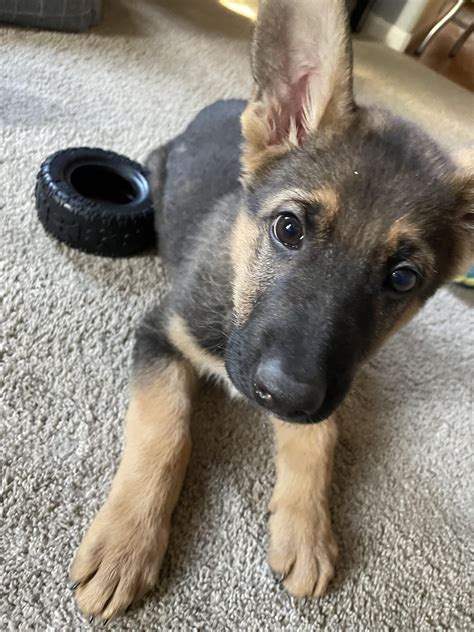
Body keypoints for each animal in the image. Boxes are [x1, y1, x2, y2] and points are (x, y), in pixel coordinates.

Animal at [70, 0, 470, 624]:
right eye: (288, 228)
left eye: (402, 279)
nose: (285, 395)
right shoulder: (162, 332)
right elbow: (166, 432)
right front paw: (125, 542)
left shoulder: (329, 384)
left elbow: (319, 441)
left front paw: (306, 529)